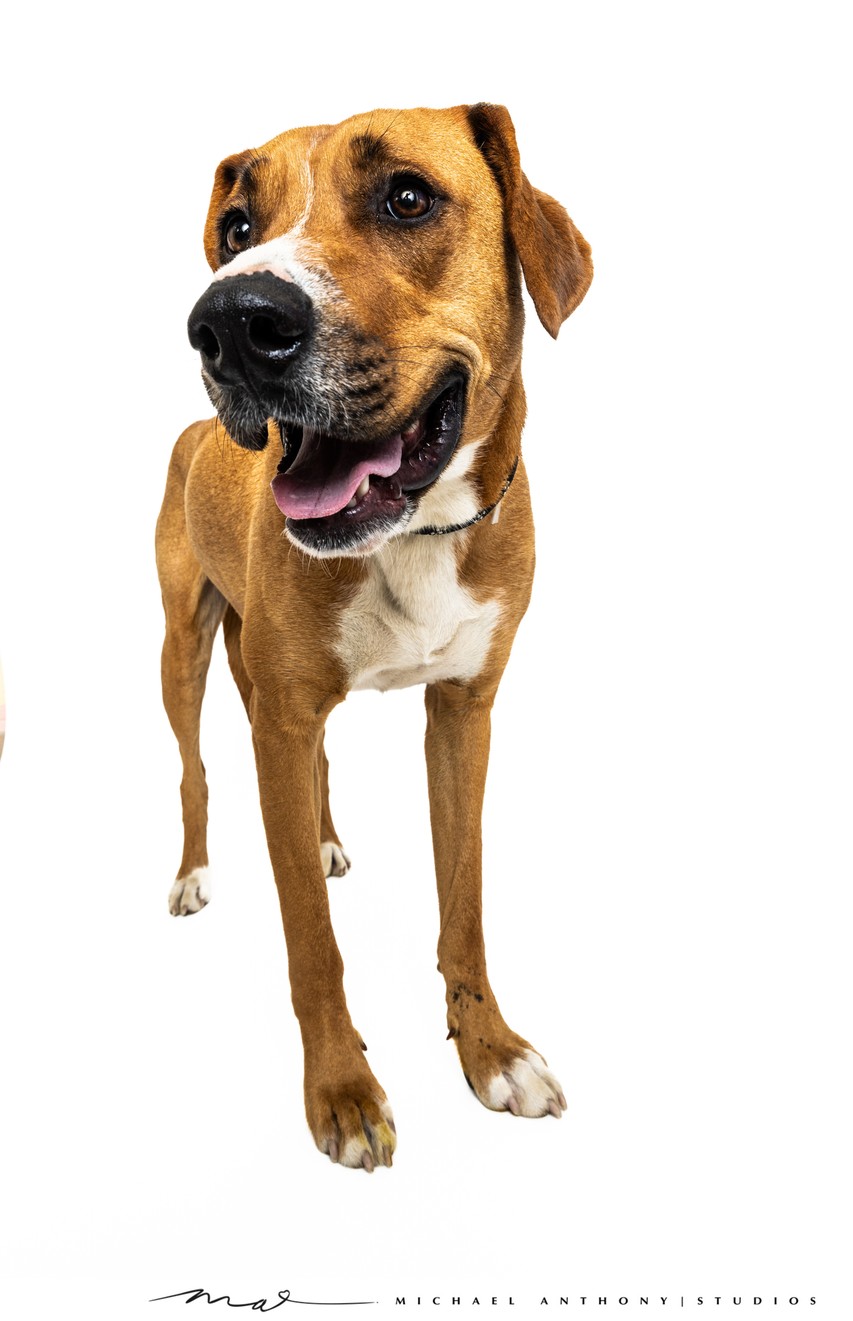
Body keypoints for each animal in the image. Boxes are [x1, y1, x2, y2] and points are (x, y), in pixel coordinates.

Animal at [155, 105, 594, 1178]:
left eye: (406, 197)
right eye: (237, 225)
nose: (229, 323)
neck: (415, 535)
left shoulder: (464, 711)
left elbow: (464, 900)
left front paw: (490, 1049)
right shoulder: (280, 718)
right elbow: (311, 942)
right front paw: (342, 1091)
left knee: (313, 774)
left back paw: (321, 840)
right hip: (182, 650)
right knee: (195, 768)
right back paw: (194, 872)